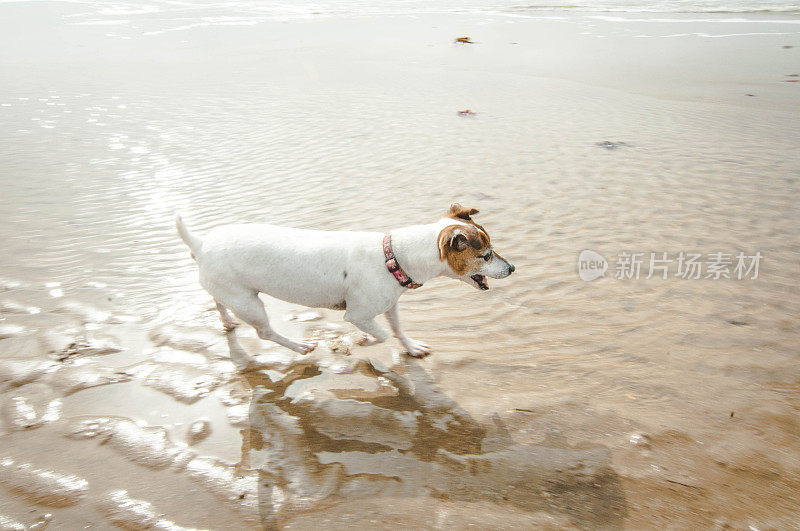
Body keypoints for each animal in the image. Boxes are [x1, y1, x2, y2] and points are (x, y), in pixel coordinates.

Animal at [175, 204, 512, 358]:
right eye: (486, 256)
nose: (512, 268)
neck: (393, 255)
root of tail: (200, 244)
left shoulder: (390, 305)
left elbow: (398, 330)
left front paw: (412, 348)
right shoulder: (358, 315)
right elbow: (382, 335)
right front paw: (361, 341)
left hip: (229, 292)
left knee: (219, 303)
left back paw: (228, 322)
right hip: (250, 303)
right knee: (265, 332)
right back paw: (299, 346)